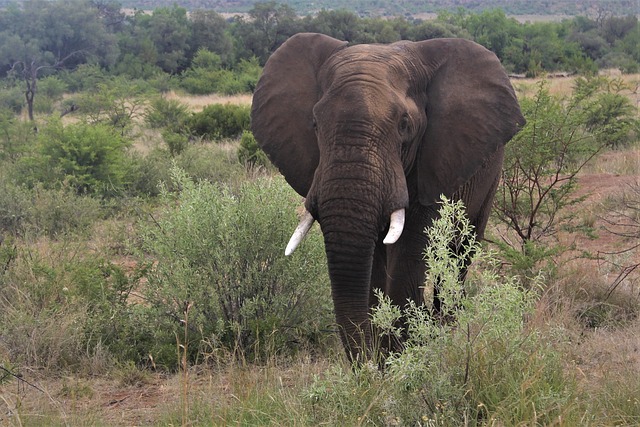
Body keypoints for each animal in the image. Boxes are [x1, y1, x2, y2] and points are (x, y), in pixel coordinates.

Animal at [250, 33, 524, 362]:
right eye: (315, 124)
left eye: (404, 124)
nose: (366, 366)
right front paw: (387, 358)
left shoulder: (431, 163)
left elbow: (410, 251)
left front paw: (405, 356)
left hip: (489, 178)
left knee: (458, 255)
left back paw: (445, 331)